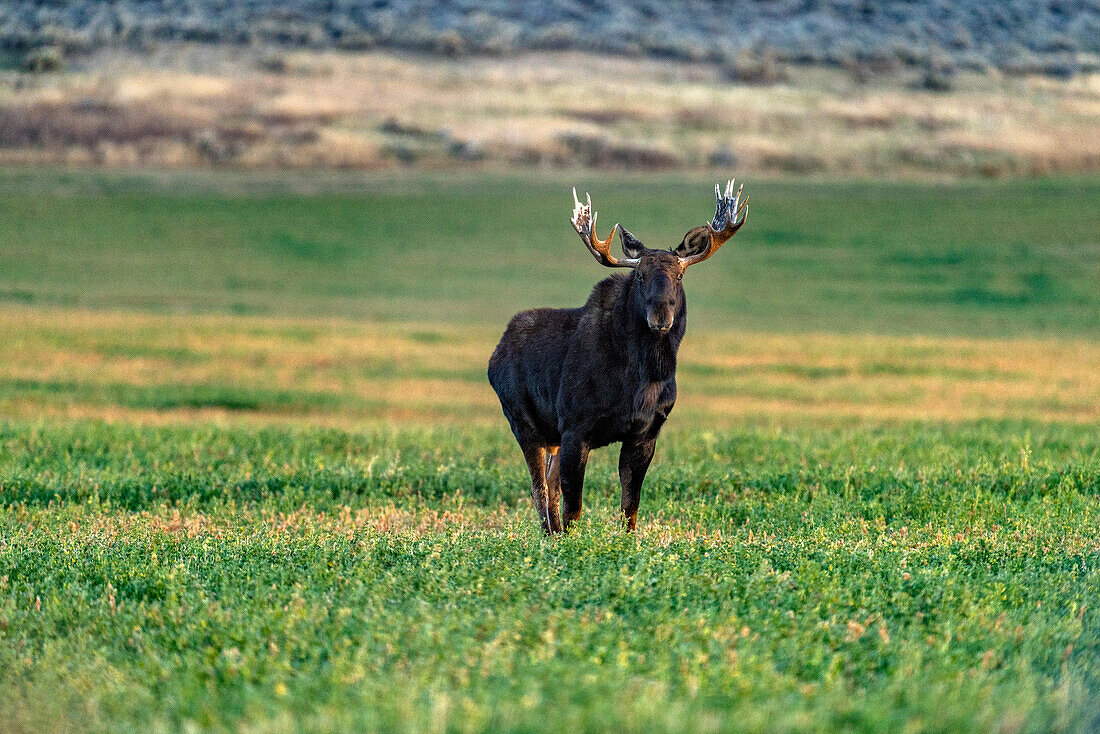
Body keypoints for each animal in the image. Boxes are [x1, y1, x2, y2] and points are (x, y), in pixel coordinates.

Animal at [488, 180, 748, 530]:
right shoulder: (575, 427)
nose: (661, 316)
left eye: (679, 276)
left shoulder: (646, 431)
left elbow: (630, 506)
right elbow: (574, 507)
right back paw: (549, 534)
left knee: (548, 488)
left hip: (551, 435)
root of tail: (495, 354)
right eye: (640, 276)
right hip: (523, 422)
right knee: (539, 489)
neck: (643, 379)